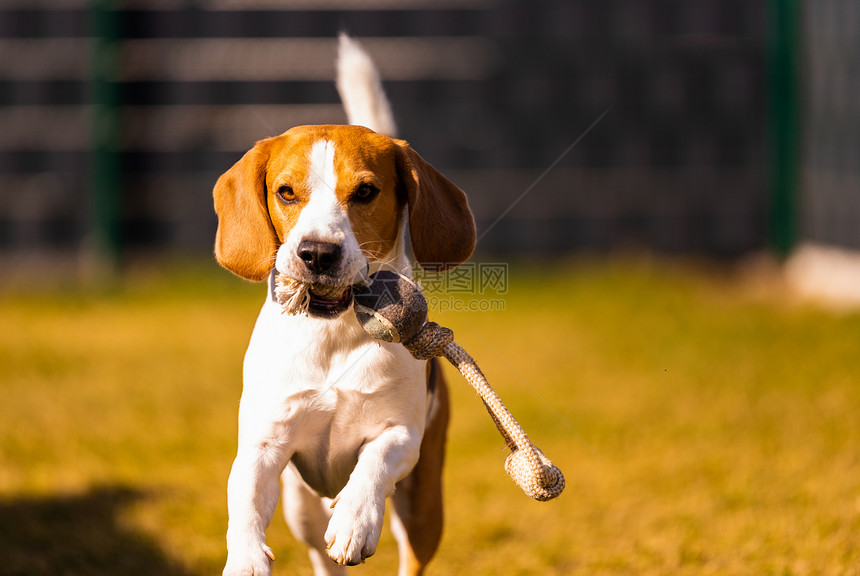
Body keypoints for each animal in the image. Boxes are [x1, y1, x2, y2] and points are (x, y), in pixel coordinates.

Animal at [212, 37, 474, 576]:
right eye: (286, 192)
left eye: (366, 191)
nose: (316, 252)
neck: (331, 333)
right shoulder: (263, 442)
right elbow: (243, 500)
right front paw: (245, 557)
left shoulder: (403, 434)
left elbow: (375, 461)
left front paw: (355, 518)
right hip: (301, 508)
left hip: (423, 508)